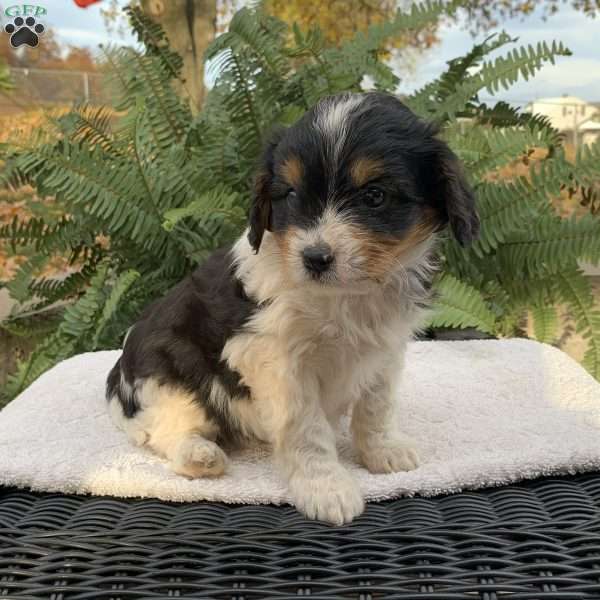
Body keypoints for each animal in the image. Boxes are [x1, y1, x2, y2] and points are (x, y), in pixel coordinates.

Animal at [106, 90, 478, 524]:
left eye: (375, 196)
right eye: (293, 195)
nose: (314, 258)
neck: (345, 296)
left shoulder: (385, 350)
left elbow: (376, 405)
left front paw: (382, 450)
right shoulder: (274, 359)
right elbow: (305, 427)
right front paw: (326, 488)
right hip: (166, 374)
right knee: (167, 429)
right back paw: (200, 454)